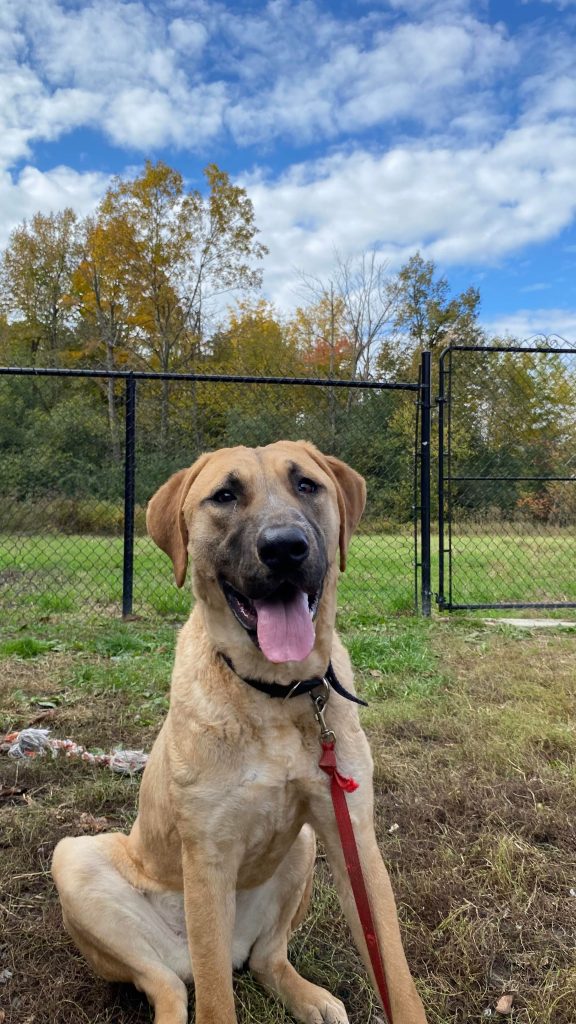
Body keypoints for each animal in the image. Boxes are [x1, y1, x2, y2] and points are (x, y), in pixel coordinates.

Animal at [50, 442, 426, 1024]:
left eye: (307, 485)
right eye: (225, 495)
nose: (285, 548)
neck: (276, 694)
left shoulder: (352, 836)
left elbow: (395, 970)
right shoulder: (208, 855)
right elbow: (214, 1003)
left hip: (302, 847)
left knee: (267, 958)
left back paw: (309, 997)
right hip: (75, 860)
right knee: (172, 985)